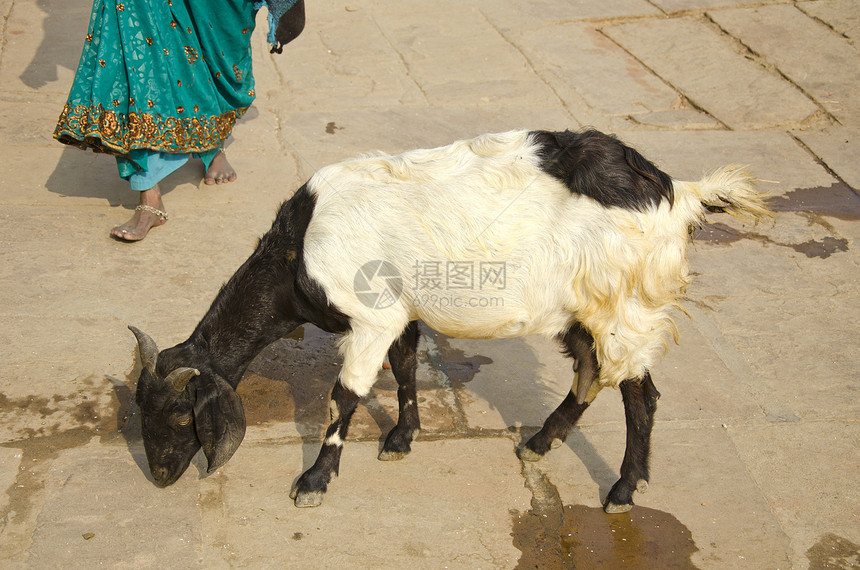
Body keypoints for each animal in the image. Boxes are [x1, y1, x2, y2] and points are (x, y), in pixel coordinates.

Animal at [129, 129, 772, 510]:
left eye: (180, 415)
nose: (158, 475)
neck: (297, 249)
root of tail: (676, 192)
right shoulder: (400, 313)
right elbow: (406, 370)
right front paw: (400, 438)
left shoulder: (371, 318)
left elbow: (345, 396)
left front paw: (314, 479)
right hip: (581, 309)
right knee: (590, 372)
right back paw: (540, 442)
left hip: (624, 307)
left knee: (640, 394)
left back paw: (621, 489)